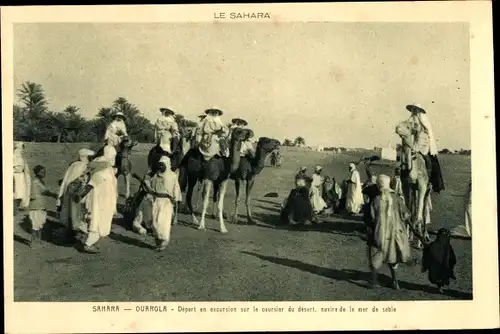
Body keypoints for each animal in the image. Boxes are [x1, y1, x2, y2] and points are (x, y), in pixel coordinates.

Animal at [396, 117, 432, 248]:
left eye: (408, 126)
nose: (397, 127)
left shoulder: (422, 185)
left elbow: (419, 216)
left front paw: (420, 241)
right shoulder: (407, 185)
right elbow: (409, 212)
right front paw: (408, 236)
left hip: (428, 189)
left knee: (424, 211)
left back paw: (424, 237)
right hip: (414, 190)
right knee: (414, 208)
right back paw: (413, 236)